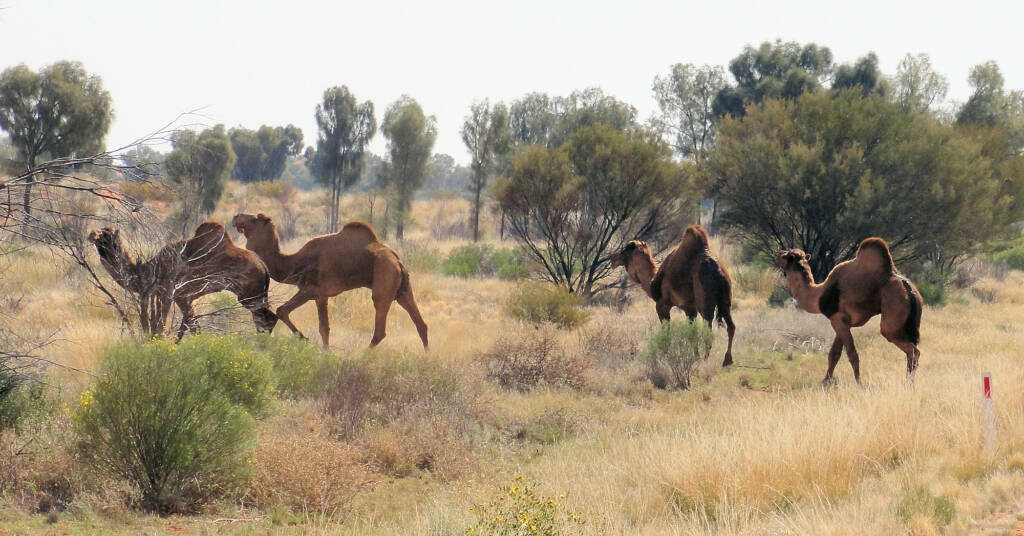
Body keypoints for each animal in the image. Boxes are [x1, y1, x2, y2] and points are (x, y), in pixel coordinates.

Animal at [88, 222, 277, 339]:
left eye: (107, 237)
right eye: (101, 236)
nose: (92, 235)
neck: (149, 270)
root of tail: (264, 266)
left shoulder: (177, 295)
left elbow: (183, 329)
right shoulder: (182, 298)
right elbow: (190, 328)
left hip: (249, 295)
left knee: (268, 319)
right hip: (256, 295)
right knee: (265, 319)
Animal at [231, 213, 428, 349]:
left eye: (255, 218)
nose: (236, 217)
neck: (294, 263)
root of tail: (398, 262)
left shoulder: (317, 292)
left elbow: (320, 326)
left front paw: (321, 350)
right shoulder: (313, 292)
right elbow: (285, 312)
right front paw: (307, 341)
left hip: (384, 278)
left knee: (380, 328)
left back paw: (361, 357)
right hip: (403, 288)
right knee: (421, 324)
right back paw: (426, 357)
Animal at [610, 225, 736, 367]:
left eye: (625, 250)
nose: (612, 258)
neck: (653, 282)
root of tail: (719, 273)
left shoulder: (662, 304)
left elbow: (666, 331)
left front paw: (666, 355)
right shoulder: (690, 309)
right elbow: (691, 332)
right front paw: (694, 356)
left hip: (705, 301)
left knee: (708, 328)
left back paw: (706, 360)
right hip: (726, 300)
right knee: (731, 326)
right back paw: (727, 360)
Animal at [776, 237, 923, 385]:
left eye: (786, 256)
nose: (778, 252)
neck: (818, 295)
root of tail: (909, 291)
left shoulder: (838, 319)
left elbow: (851, 353)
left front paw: (858, 382)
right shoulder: (841, 321)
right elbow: (834, 354)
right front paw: (825, 381)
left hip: (893, 310)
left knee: (911, 349)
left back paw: (908, 383)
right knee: (912, 350)